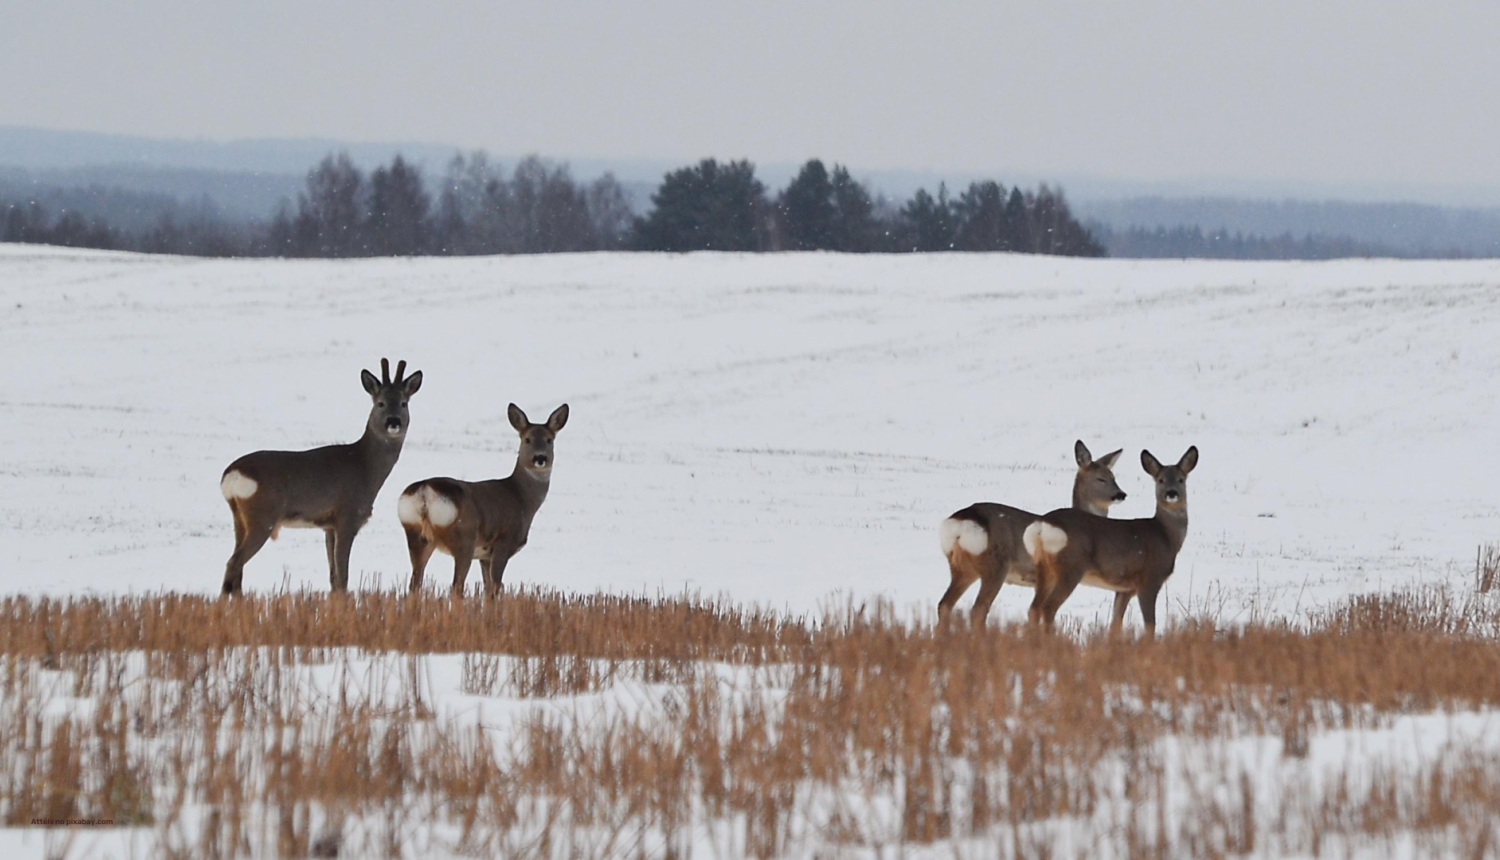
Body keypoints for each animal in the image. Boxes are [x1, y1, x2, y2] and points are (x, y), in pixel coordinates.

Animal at [216, 358, 423, 594]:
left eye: (404, 403)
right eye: (380, 403)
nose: (393, 421)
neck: (365, 466)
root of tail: (231, 475)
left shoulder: (328, 526)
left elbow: (333, 577)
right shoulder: (347, 517)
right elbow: (343, 577)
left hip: (239, 518)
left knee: (236, 570)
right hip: (262, 516)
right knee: (234, 563)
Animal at [399, 399, 567, 594]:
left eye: (549, 440)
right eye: (527, 439)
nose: (540, 458)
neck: (521, 499)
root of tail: (425, 490)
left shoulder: (484, 555)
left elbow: (487, 588)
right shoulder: (503, 541)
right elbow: (495, 588)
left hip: (416, 533)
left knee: (415, 583)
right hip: (464, 537)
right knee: (456, 586)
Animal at [936, 441, 1128, 624]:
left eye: (1114, 477)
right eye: (1100, 479)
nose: (1121, 494)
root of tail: (961, 521)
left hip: (961, 568)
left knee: (945, 604)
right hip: (995, 565)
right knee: (978, 609)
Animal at [1020, 447, 1194, 633]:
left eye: (1181, 479)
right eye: (1160, 480)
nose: (1171, 493)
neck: (1166, 536)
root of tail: (1042, 525)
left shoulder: (1125, 588)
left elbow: (1115, 623)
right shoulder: (1150, 578)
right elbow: (1150, 625)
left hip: (1043, 567)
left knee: (1034, 608)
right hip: (1071, 566)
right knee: (1048, 607)